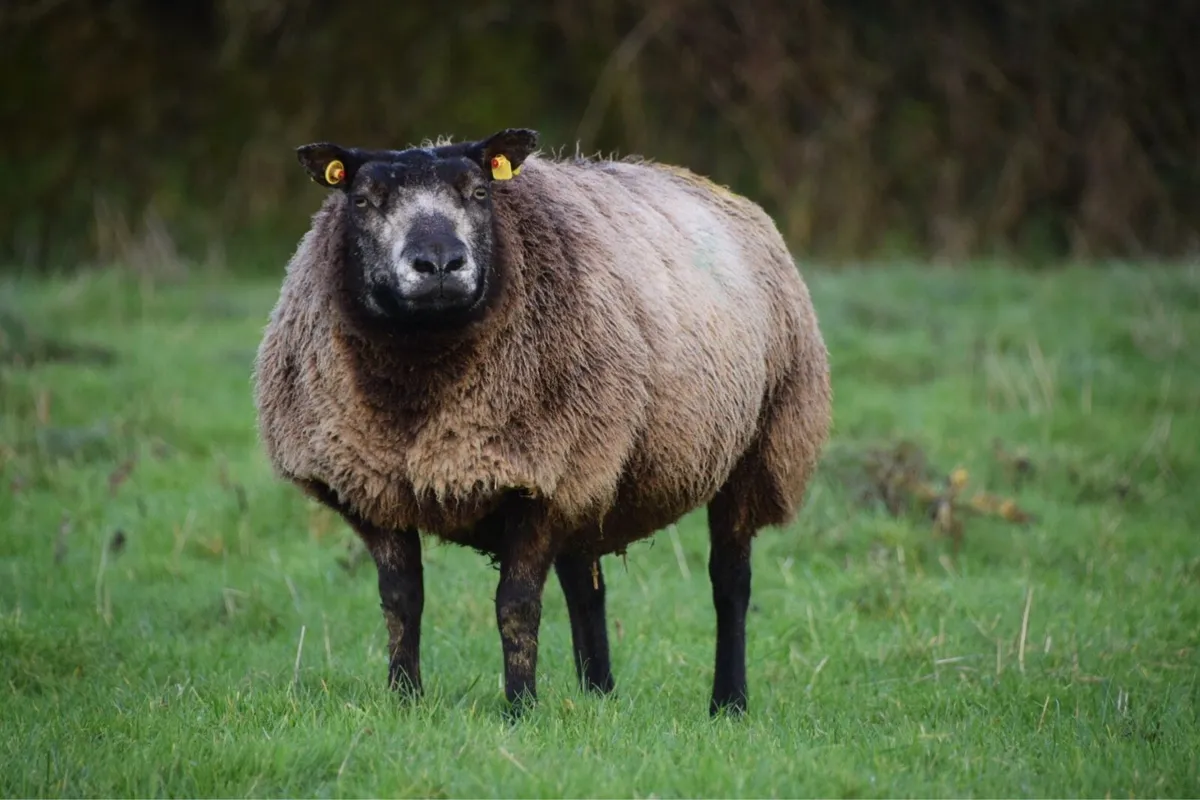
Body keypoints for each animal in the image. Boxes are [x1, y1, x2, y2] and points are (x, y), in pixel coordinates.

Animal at [253, 127, 832, 716]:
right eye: (363, 201)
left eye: (480, 193)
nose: (439, 263)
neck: (421, 381)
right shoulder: (373, 484)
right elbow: (400, 601)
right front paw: (405, 700)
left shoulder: (538, 482)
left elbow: (516, 605)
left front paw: (519, 708)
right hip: (593, 463)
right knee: (586, 584)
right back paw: (599, 692)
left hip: (754, 447)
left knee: (730, 581)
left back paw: (728, 702)